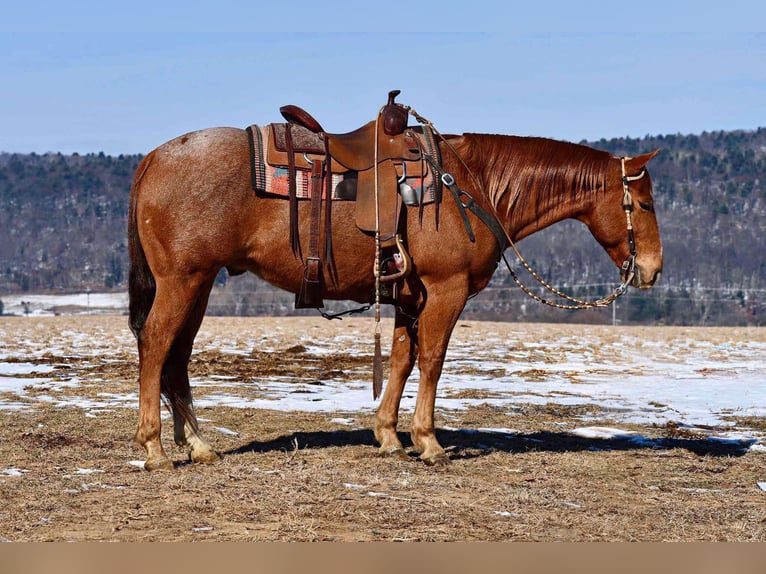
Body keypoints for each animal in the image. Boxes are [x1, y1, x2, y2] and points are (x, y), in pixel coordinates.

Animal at [129, 103, 664, 472]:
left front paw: (388, 436)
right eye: (643, 202)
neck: (469, 184)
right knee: (156, 344)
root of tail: (153, 158)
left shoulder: (410, 296)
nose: (653, 269)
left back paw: (199, 446)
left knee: (177, 356)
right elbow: (432, 361)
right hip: (182, 281)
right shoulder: (446, 290)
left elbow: (403, 360)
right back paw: (154, 448)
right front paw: (428, 442)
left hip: (198, 285)